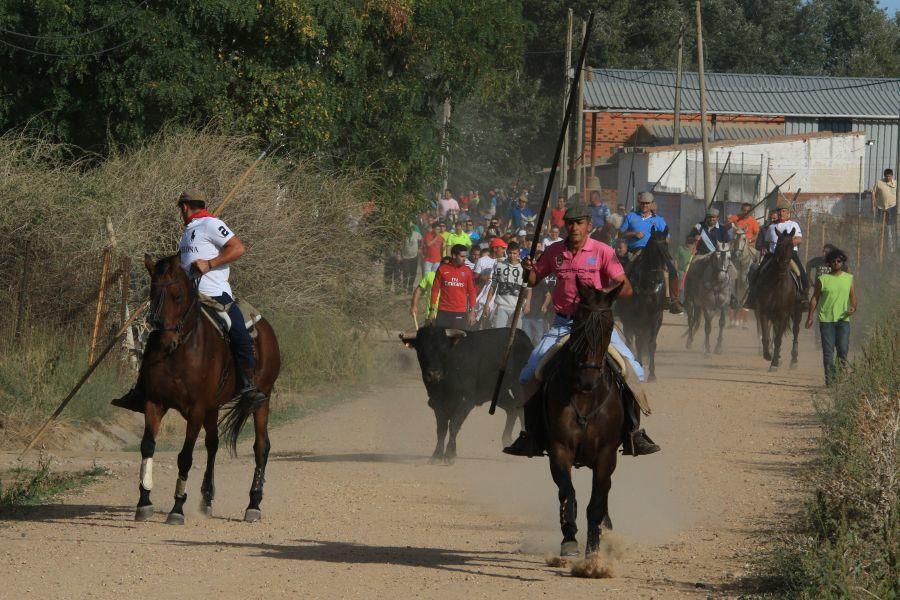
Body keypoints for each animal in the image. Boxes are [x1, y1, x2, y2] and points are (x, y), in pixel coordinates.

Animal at [134, 255, 278, 524]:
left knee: (261, 447)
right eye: (152, 293)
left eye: (178, 296)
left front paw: (177, 507)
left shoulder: (196, 409)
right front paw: (144, 501)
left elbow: (185, 456)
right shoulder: (155, 403)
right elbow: (147, 446)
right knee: (213, 443)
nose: (165, 341)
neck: (180, 350)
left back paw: (253, 504)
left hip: (262, 399)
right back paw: (207, 498)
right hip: (214, 406)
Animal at [400, 328, 536, 464]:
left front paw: (450, 454)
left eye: (444, 349)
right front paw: (436, 455)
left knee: (522, 410)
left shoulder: (466, 401)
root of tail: (522, 335)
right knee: (512, 408)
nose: (433, 374)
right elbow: (441, 429)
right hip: (499, 393)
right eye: (421, 350)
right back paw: (507, 440)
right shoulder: (438, 403)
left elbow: (454, 425)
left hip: (519, 386)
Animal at [536, 282, 624, 556]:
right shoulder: (559, 448)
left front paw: (593, 551)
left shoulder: (607, 453)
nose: (588, 380)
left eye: (609, 327)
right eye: (578, 325)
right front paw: (570, 540)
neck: (586, 398)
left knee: (605, 492)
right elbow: (567, 492)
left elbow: (596, 502)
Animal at [616, 227, 672, 382]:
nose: (659, 279)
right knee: (630, 340)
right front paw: (639, 365)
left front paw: (652, 374)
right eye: (653, 249)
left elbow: (651, 343)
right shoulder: (635, 317)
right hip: (628, 319)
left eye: (666, 246)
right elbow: (639, 341)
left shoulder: (656, 317)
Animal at [752, 229, 800, 370]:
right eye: (778, 244)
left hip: (797, 311)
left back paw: (793, 360)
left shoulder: (783, 314)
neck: (777, 282)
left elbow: (778, 339)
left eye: (791, 245)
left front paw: (774, 364)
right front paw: (768, 355)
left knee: (795, 331)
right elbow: (766, 336)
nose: (784, 265)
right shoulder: (763, 312)